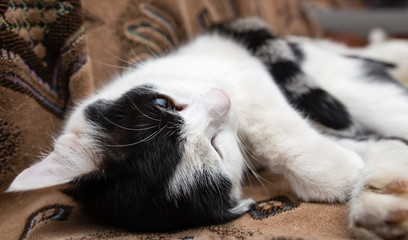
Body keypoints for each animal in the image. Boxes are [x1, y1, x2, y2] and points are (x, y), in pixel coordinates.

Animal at [7, 17, 408, 238]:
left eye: (163, 103)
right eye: (216, 147)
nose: (222, 100)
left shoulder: (242, 73)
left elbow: (271, 125)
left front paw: (341, 173)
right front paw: (354, 174)